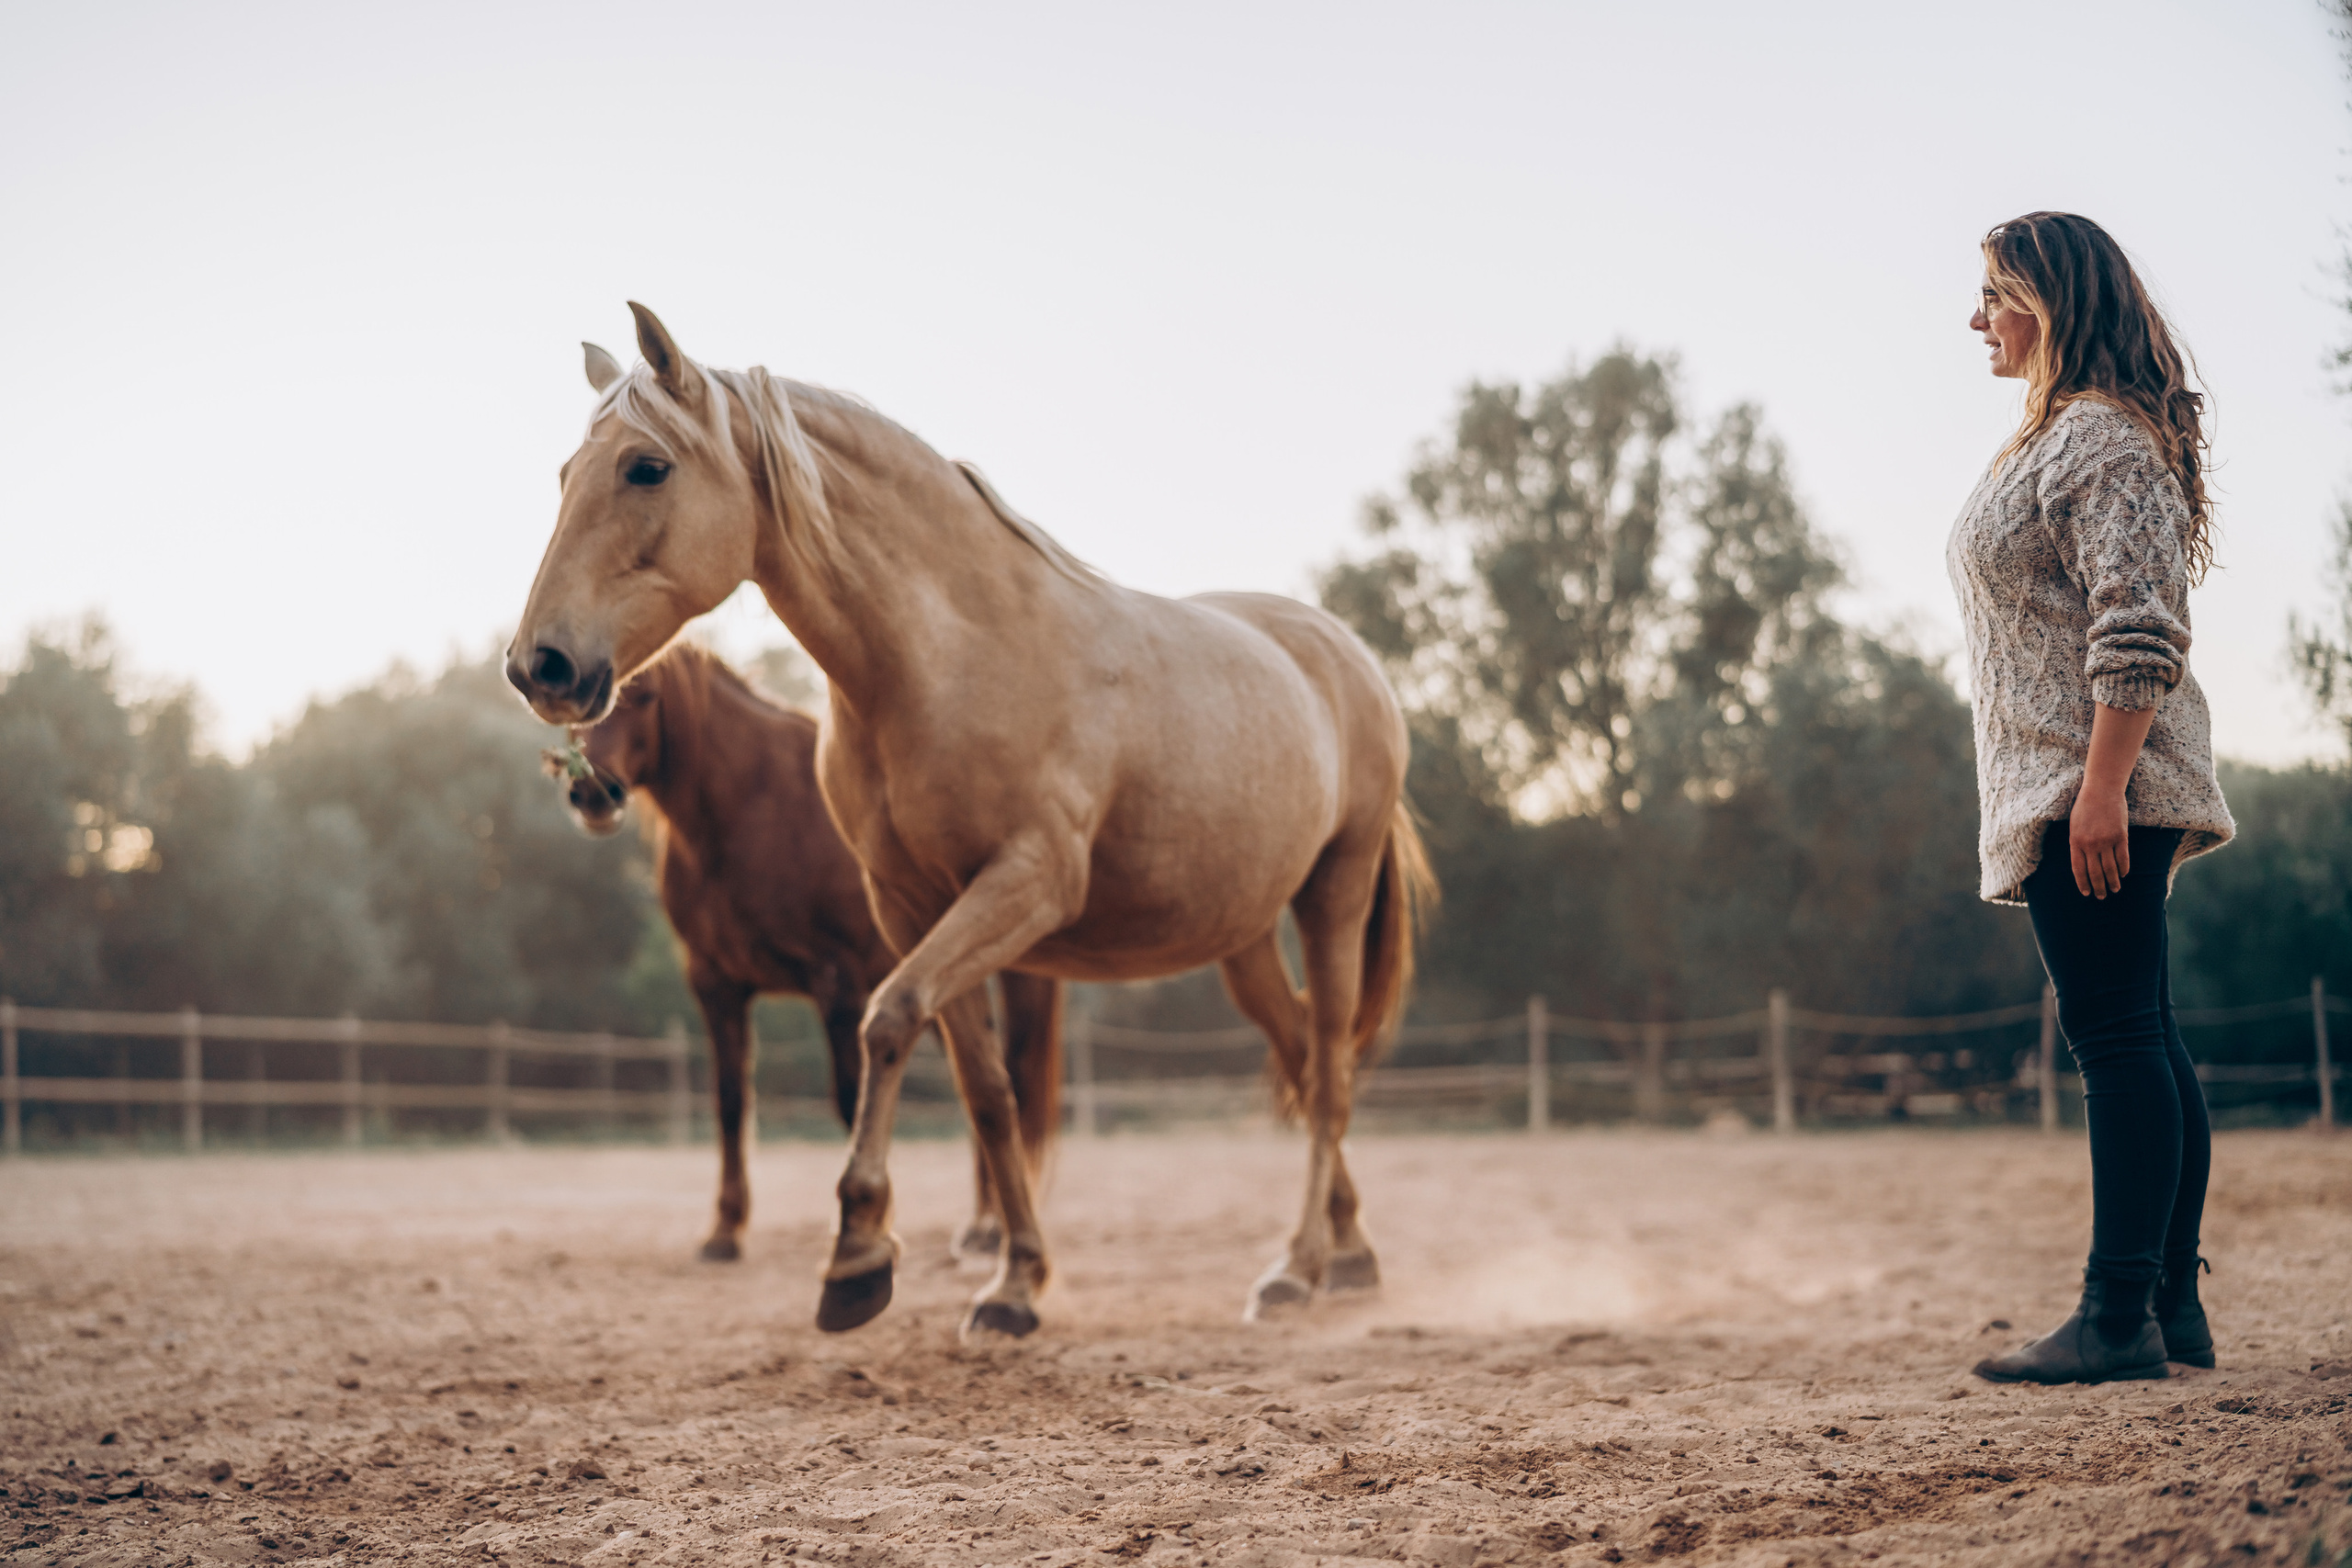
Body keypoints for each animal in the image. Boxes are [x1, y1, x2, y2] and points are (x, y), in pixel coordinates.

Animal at [551, 640, 1063, 1265]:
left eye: (644, 695)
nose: (592, 793)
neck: (749, 812)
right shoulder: (716, 985)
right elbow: (730, 1104)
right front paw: (725, 1231)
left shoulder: (835, 982)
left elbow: (847, 1099)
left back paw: (989, 1229)